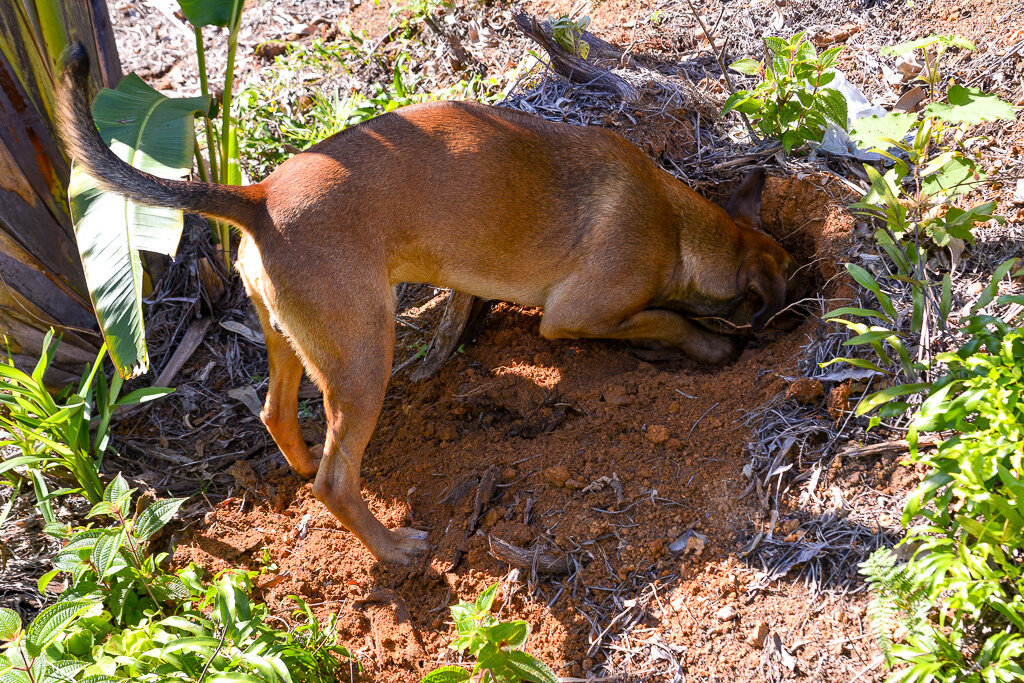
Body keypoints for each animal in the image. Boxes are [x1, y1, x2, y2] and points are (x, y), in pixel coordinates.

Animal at [59, 44, 802, 565]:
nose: (797, 315)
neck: (682, 228)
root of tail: (259, 196)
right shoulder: (578, 317)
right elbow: (666, 318)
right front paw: (710, 345)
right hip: (365, 356)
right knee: (335, 482)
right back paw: (394, 549)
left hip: (294, 341)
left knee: (279, 416)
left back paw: (304, 464)